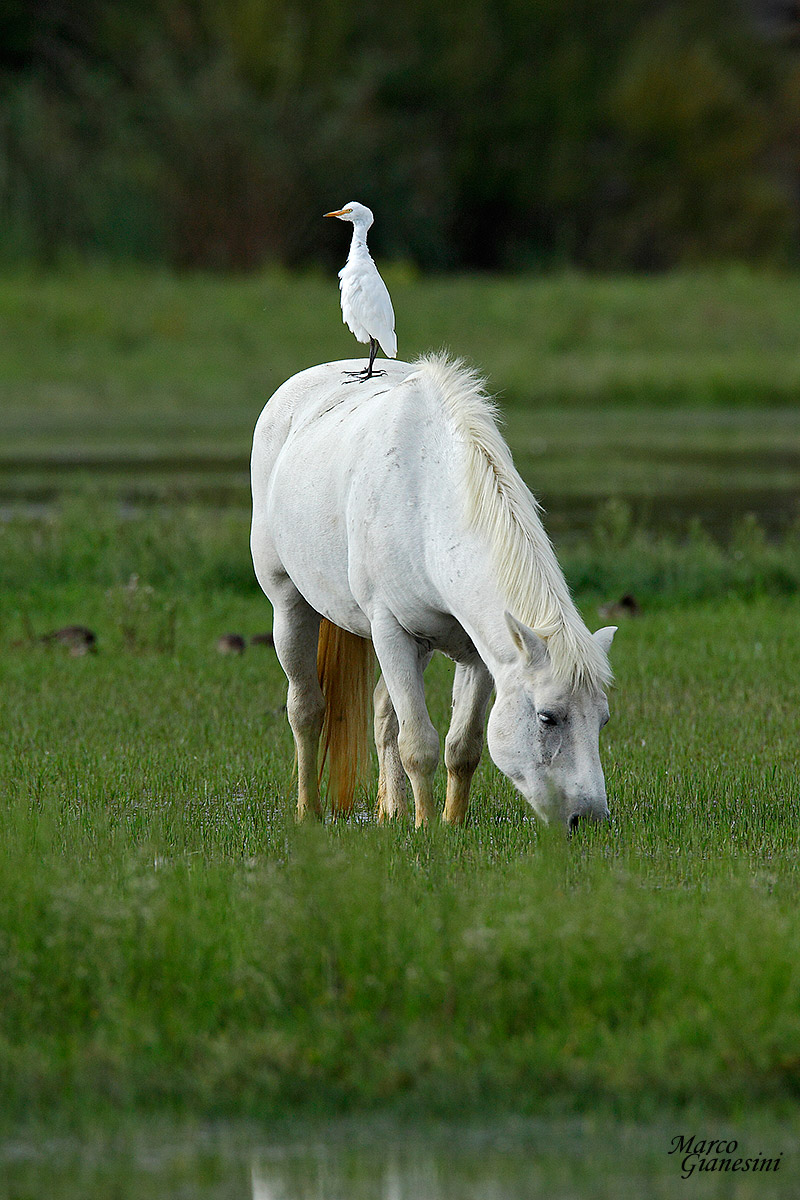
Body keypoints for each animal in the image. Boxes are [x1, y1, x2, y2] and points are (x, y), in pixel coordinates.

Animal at [250, 354, 616, 829]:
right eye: (547, 717)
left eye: (602, 720)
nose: (589, 819)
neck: (428, 504)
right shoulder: (390, 632)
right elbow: (418, 743)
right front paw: (426, 828)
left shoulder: (480, 653)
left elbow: (463, 748)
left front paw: (450, 823)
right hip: (289, 606)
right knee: (307, 709)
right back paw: (308, 812)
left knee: (383, 712)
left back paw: (391, 811)